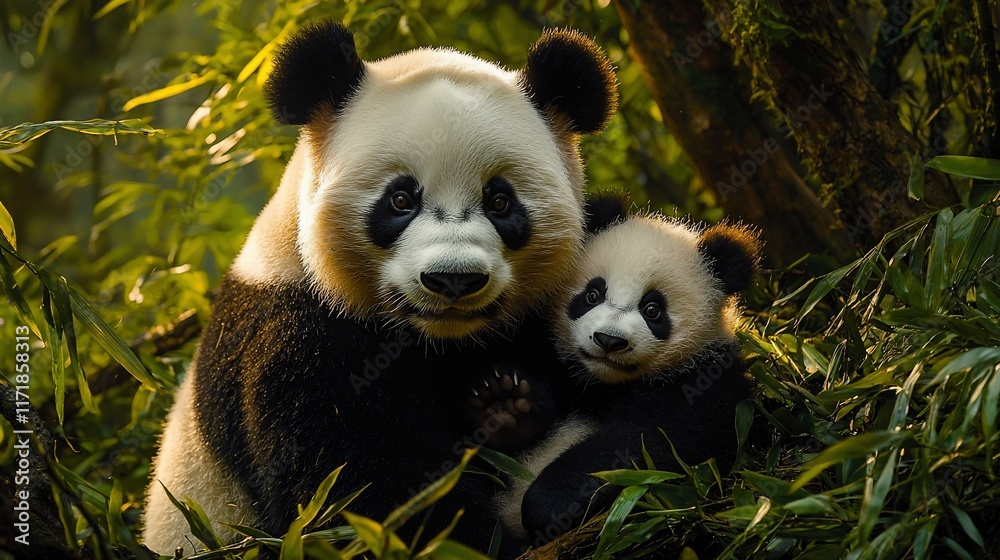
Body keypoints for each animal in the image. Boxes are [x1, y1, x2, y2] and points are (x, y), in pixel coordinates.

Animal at [141, 20, 618, 556]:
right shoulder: (299, 343)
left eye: (499, 201)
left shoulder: (550, 317)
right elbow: (365, 494)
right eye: (401, 199)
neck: (443, 343)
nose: (453, 278)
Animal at [480, 197, 762, 546]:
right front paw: (509, 405)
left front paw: (549, 502)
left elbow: (657, 436)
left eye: (652, 309)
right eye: (592, 294)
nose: (609, 340)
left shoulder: (707, 376)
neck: (606, 382)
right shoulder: (555, 361)